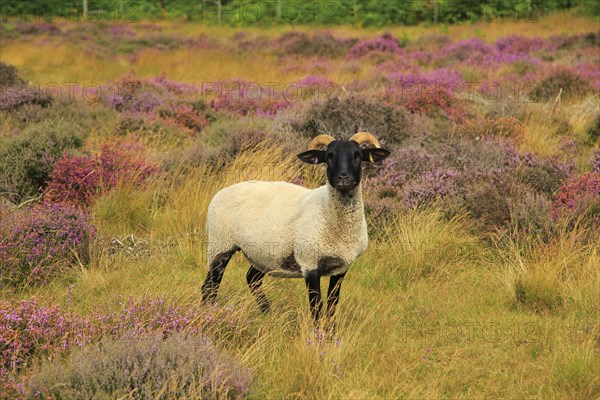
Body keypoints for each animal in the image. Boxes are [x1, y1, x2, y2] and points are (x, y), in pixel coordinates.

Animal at [202, 133, 390, 326]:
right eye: (329, 157)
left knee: (251, 278)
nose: (343, 178)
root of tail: (219, 194)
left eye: (357, 155)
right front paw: (318, 334)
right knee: (209, 286)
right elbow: (316, 308)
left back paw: (268, 314)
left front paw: (331, 332)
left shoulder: (341, 268)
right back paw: (208, 315)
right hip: (220, 245)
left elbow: (332, 307)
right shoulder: (310, 265)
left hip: (264, 254)